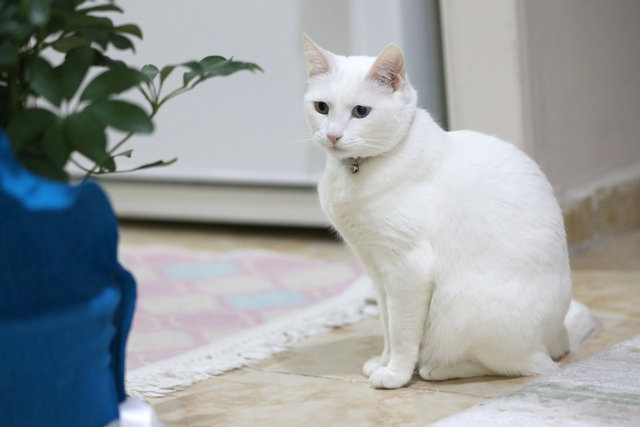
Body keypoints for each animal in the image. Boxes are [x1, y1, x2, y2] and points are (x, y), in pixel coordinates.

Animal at [302, 35, 595, 389]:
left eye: (361, 111)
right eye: (322, 107)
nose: (333, 135)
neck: (353, 174)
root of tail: (559, 335)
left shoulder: (407, 270)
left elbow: (401, 332)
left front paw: (396, 373)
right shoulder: (377, 270)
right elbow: (386, 323)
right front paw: (382, 361)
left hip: (462, 309)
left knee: (526, 365)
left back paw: (436, 368)